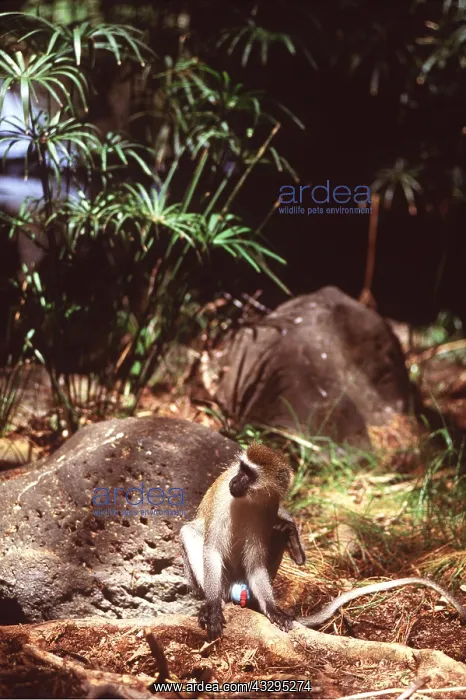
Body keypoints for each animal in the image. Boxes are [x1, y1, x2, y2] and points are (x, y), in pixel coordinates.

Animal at [180, 443, 466, 640]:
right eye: (241, 469)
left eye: (249, 474)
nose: (235, 480)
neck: (249, 500)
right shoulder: (223, 499)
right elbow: (212, 550)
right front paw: (213, 608)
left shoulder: (269, 506)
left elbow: (255, 563)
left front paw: (272, 607)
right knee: (190, 534)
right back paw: (216, 601)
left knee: (277, 535)